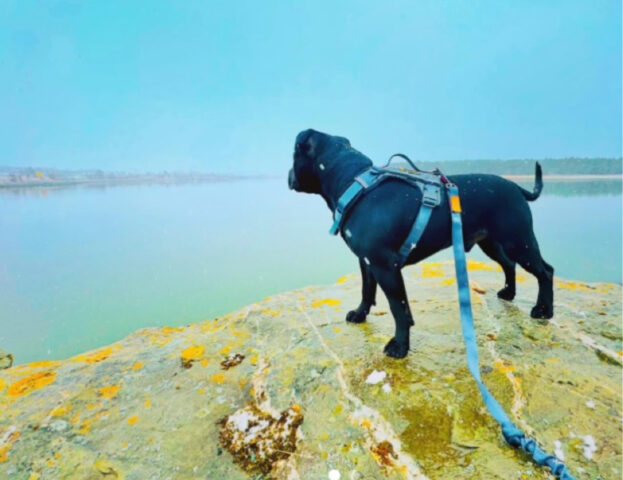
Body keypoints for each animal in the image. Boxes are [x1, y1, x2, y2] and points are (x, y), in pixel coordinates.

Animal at [288, 129, 556, 358]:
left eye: (293, 155)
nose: (288, 175)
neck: (355, 183)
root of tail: (517, 188)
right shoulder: (367, 261)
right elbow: (367, 290)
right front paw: (360, 314)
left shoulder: (385, 267)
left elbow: (399, 309)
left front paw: (399, 346)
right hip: (494, 243)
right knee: (509, 264)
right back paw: (509, 293)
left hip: (519, 242)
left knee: (545, 271)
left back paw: (544, 310)